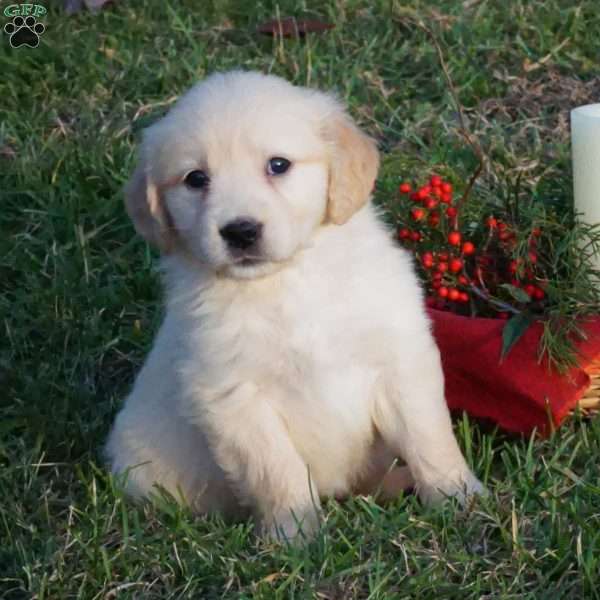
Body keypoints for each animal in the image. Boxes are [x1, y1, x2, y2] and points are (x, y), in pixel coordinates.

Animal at [105, 69, 486, 540]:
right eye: (195, 178)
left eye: (278, 165)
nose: (240, 231)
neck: (288, 282)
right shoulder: (231, 395)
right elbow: (275, 469)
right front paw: (295, 535)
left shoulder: (398, 356)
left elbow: (427, 435)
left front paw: (456, 496)